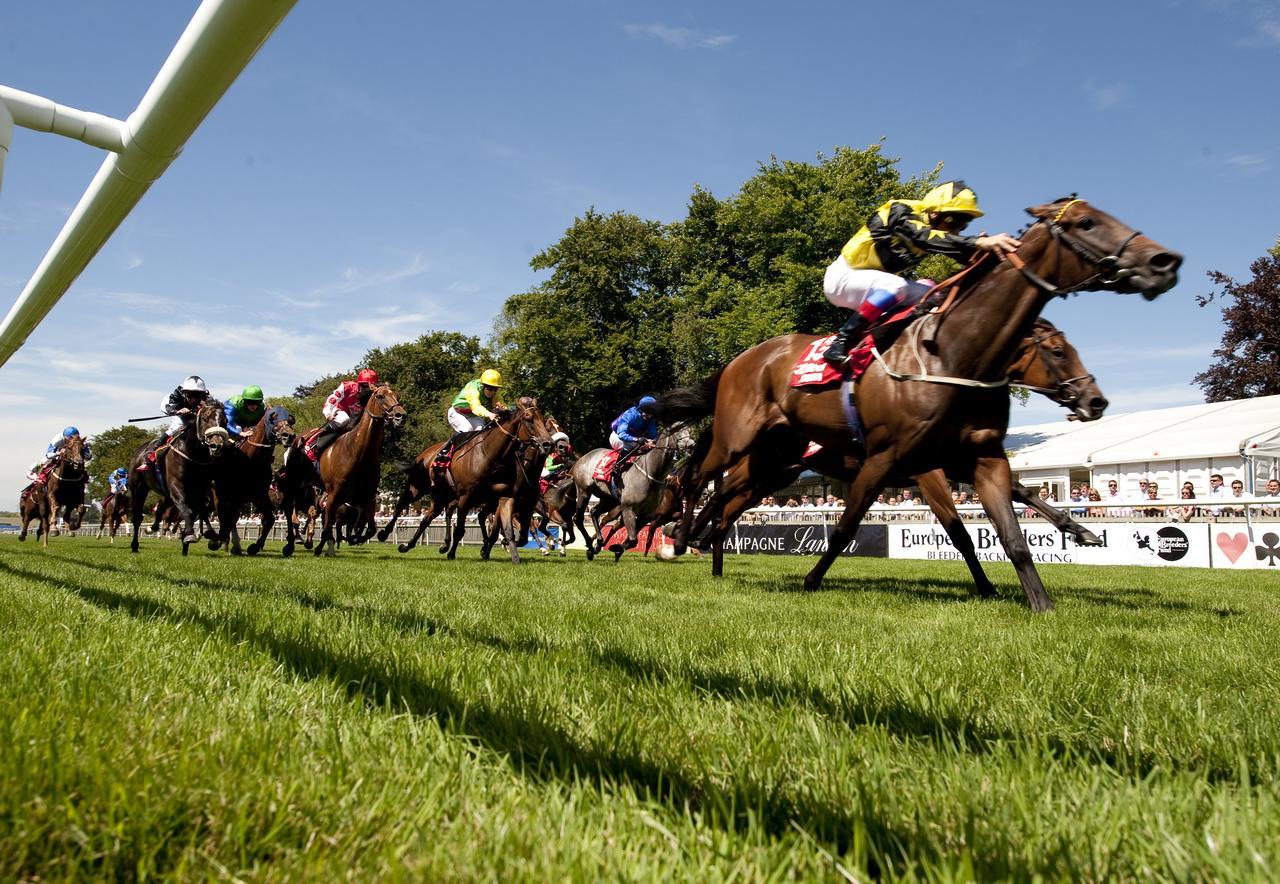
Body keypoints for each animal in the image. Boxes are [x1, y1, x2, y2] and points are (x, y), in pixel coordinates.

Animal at [670, 199, 1177, 611]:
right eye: (1087, 222)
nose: (1163, 260)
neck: (952, 356)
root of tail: (739, 360)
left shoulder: (976, 457)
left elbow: (1011, 530)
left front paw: (1042, 593)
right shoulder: (905, 463)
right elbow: (852, 527)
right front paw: (812, 580)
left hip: (772, 465)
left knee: (725, 502)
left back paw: (706, 549)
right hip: (739, 440)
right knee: (694, 478)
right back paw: (678, 536)